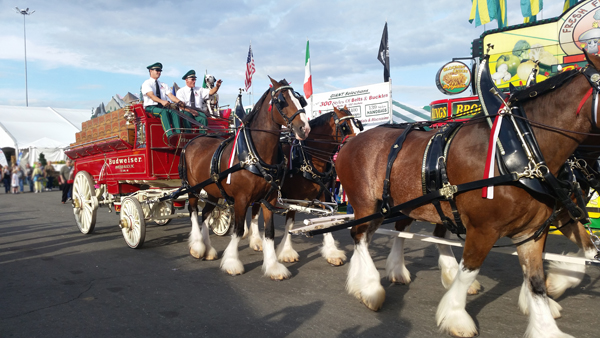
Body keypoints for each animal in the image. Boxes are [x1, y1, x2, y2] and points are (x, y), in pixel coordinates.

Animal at [179, 78, 310, 280]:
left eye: (300, 99)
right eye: (282, 101)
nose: (304, 128)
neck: (254, 155)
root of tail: (192, 141)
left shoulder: (269, 199)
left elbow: (269, 232)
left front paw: (273, 266)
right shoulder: (241, 199)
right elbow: (239, 230)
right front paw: (232, 262)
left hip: (212, 190)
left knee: (206, 213)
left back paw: (207, 248)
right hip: (193, 188)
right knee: (193, 211)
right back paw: (198, 246)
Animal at [246, 107, 358, 266]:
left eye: (358, 123)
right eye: (345, 126)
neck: (308, 159)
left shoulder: (323, 195)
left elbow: (326, 220)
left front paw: (332, 252)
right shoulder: (294, 198)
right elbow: (290, 224)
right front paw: (286, 252)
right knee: (253, 211)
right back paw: (254, 239)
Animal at [338, 54, 600, 336]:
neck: (520, 149)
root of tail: (349, 143)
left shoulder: (535, 229)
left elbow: (544, 276)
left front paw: (546, 316)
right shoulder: (483, 229)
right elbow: (469, 271)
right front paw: (455, 315)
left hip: (400, 204)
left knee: (387, 232)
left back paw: (389, 273)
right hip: (367, 204)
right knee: (360, 236)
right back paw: (369, 287)